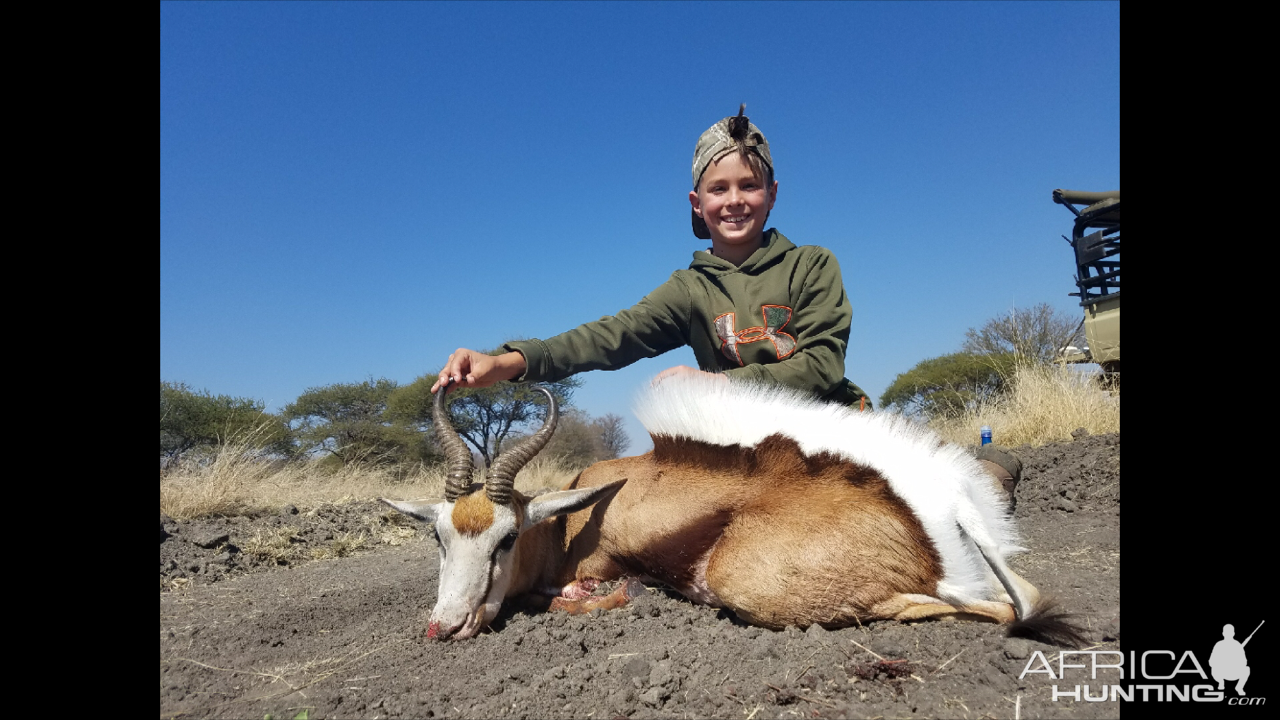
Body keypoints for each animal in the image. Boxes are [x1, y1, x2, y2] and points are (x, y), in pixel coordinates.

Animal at [384, 371, 1085, 640]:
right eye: (439, 537)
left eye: (505, 537)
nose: (444, 624)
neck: (571, 523)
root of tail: (918, 521)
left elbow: (572, 597)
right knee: (1013, 595)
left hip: (748, 585)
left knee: (1001, 610)